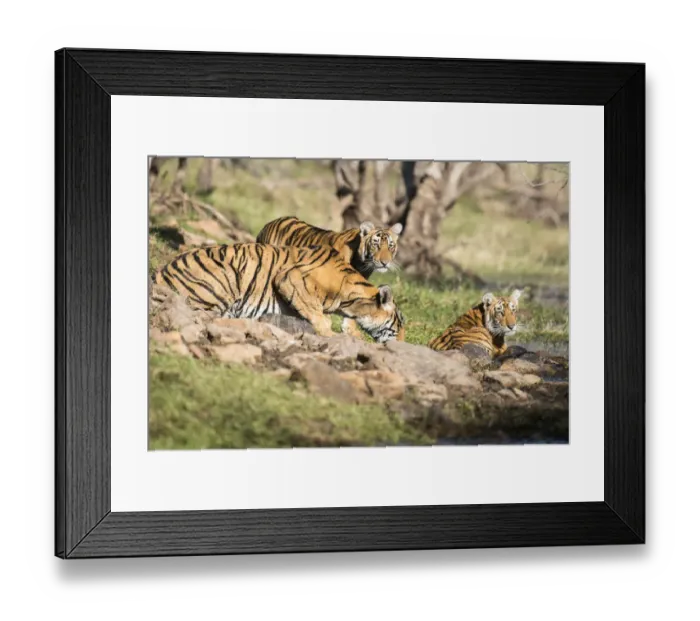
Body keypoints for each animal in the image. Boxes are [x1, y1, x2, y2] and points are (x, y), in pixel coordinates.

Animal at [152, 243, 405, 343]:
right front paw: (330, 334)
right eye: (401, 322)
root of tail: (161, 272)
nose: (402, 343)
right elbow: (318, 315)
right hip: (224, 276)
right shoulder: (291, 276)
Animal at [256, 216, 403, 337]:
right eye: (376, 244)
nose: (385, 262)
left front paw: (351, 331)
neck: (360, 264)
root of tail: (268, 224)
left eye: (391, 246)